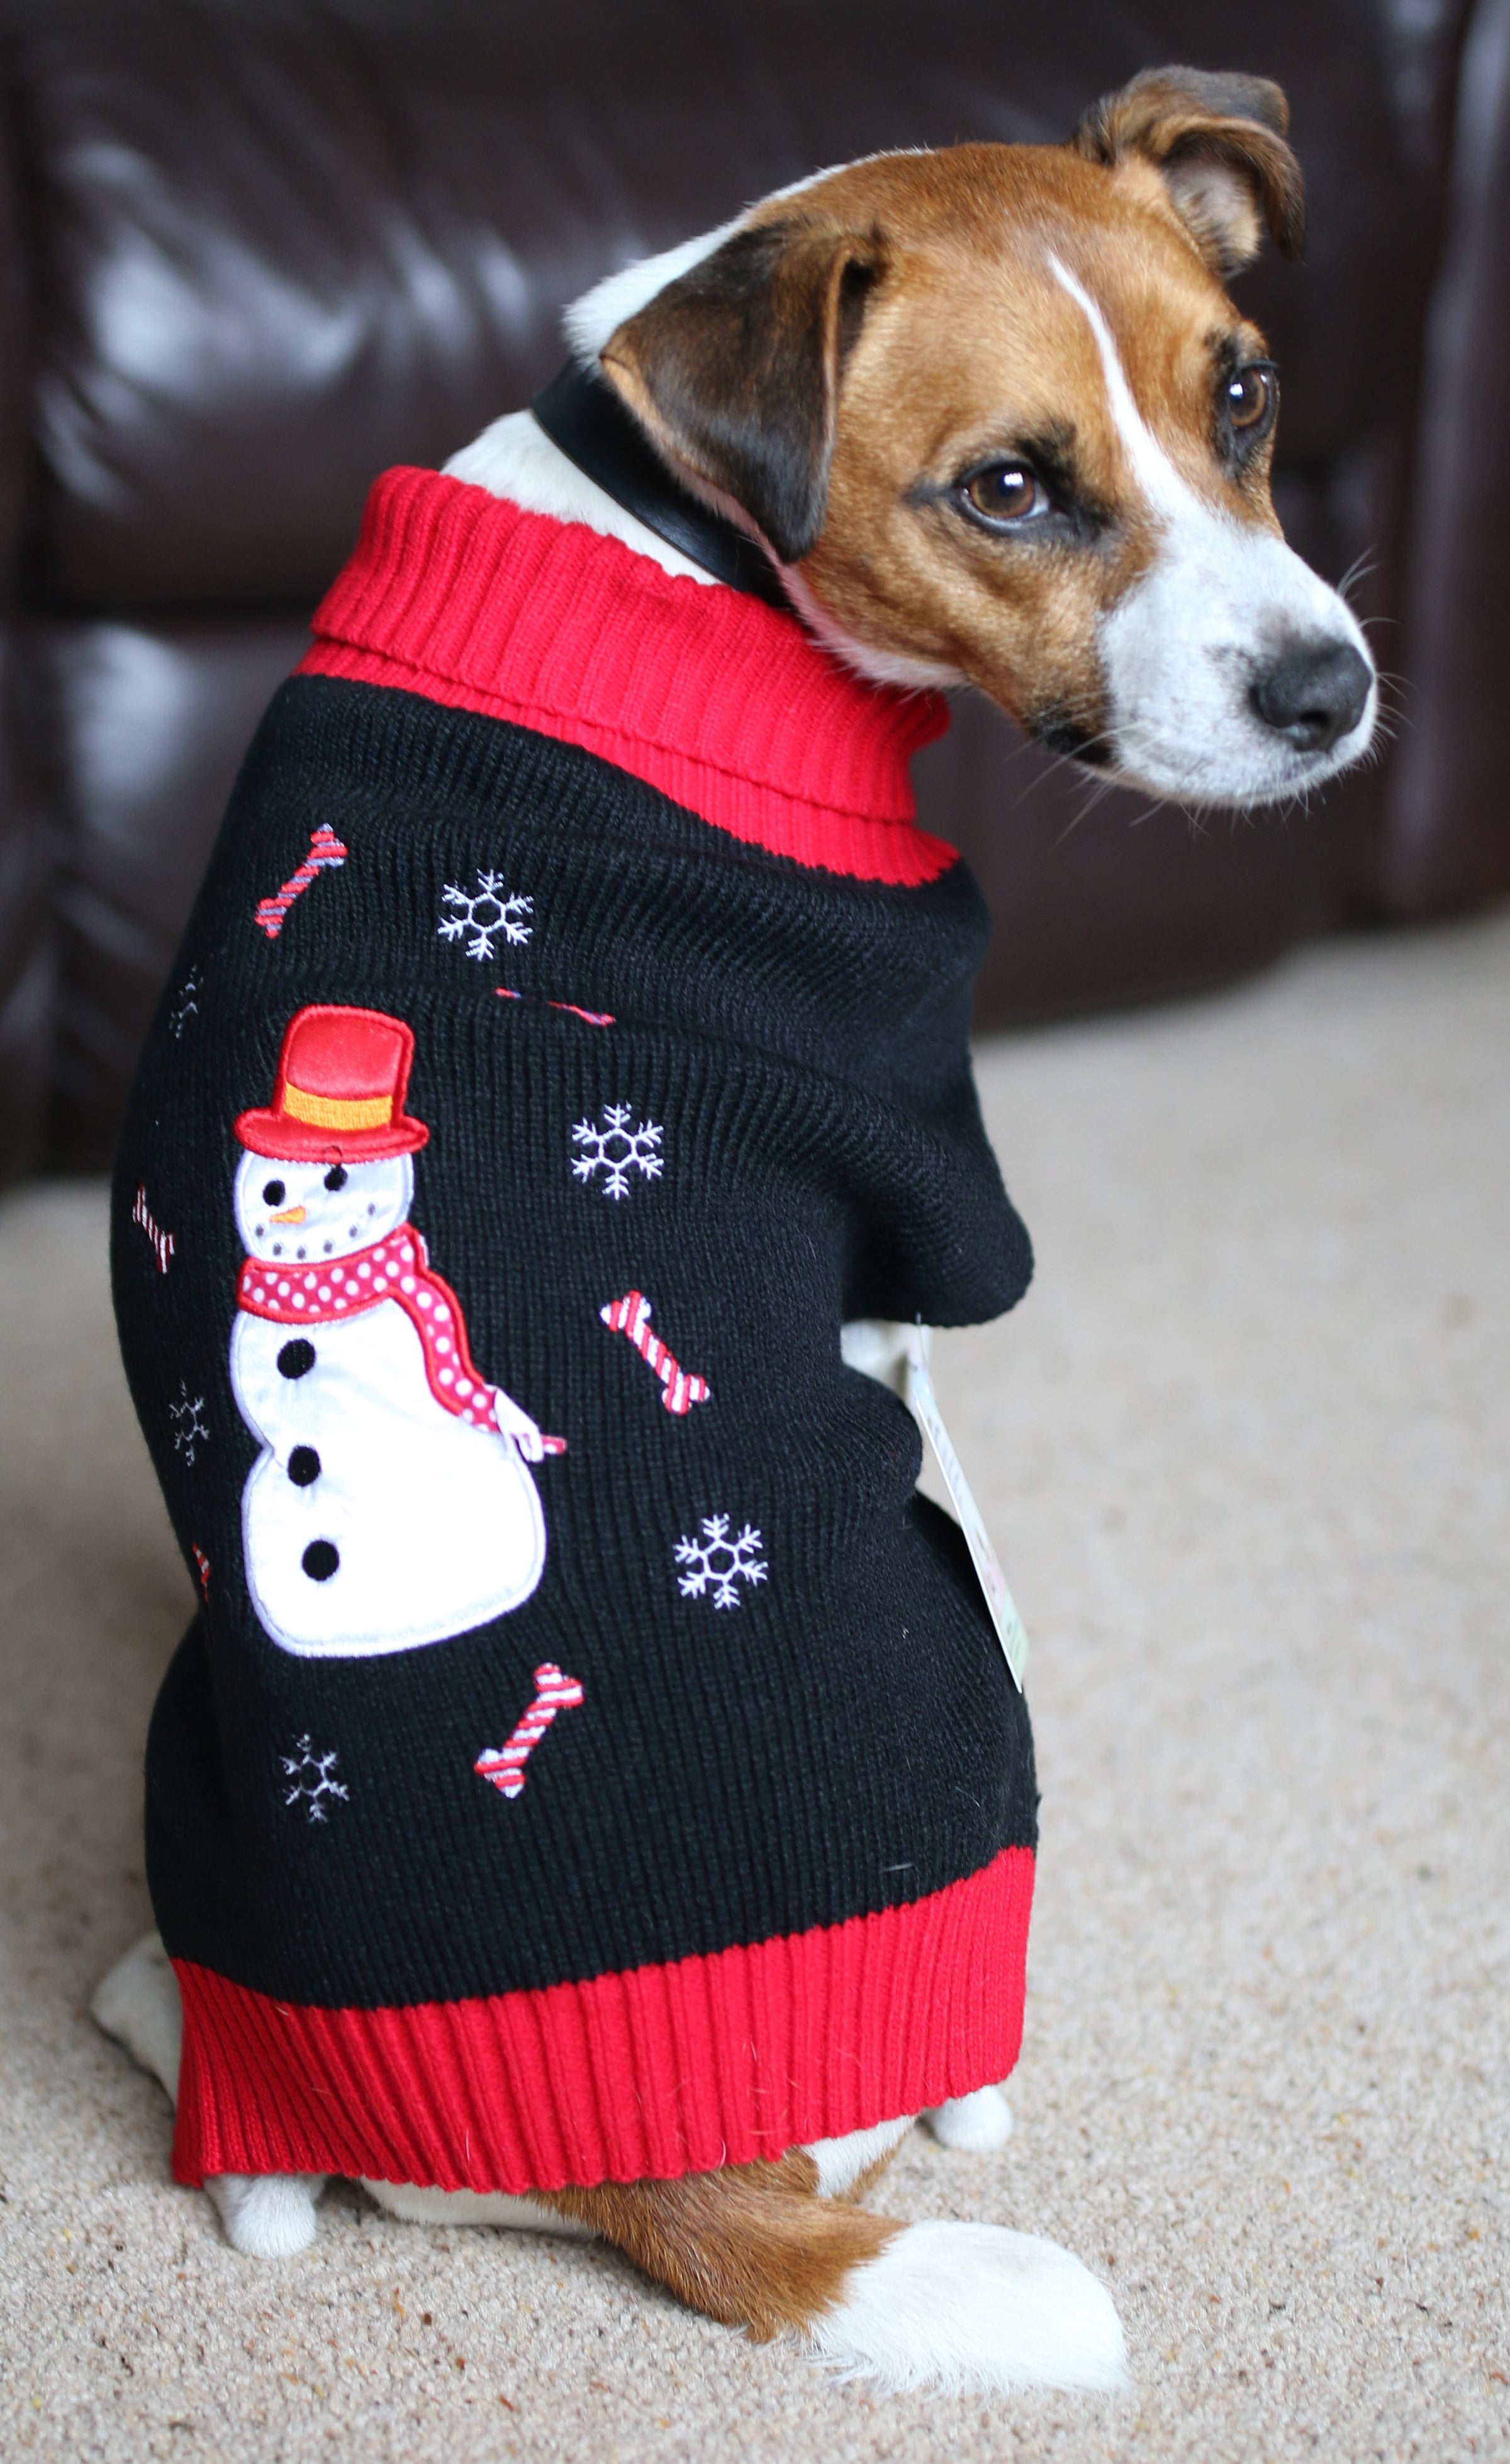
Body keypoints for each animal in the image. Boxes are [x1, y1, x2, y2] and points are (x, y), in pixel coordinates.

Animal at [94, 67, 1369, 2395]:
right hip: (957, 1618)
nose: (1332, 694)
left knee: (253, 2186)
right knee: (964, 2072)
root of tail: (675, 2179)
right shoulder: (929, 1229)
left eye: (1242, 396)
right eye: (1012, 489)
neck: (668, 536)